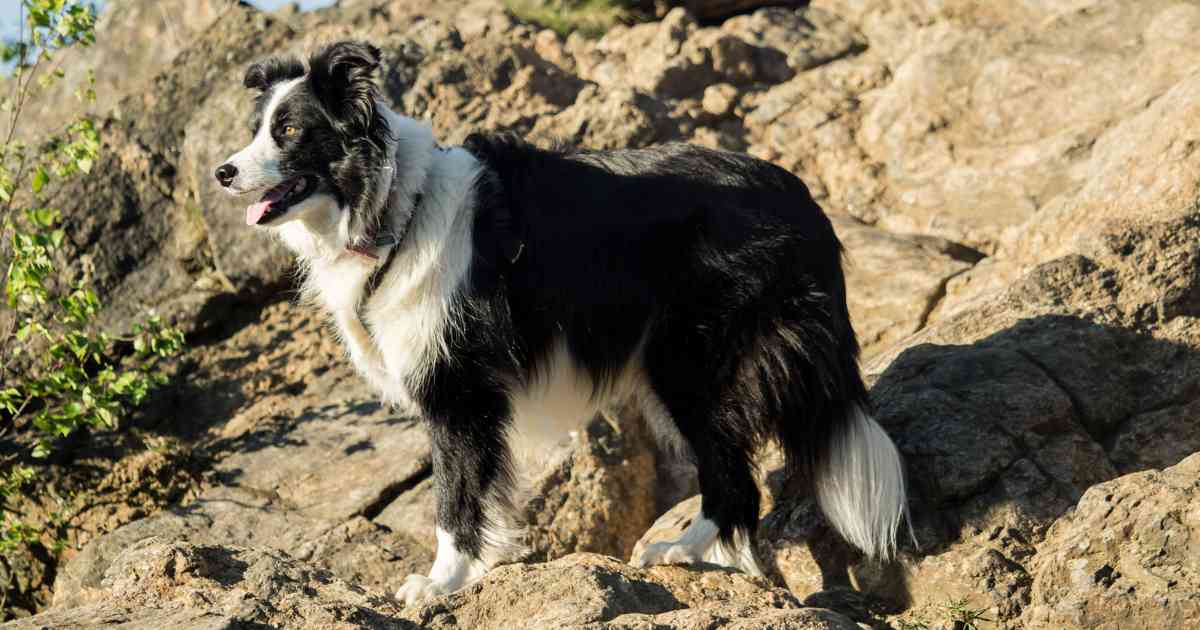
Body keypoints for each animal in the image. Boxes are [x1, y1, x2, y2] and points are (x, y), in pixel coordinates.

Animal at [218, 40, 907, 604]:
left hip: (691, 357)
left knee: (734, 475)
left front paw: (439, 583)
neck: (391, 206)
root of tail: (804, 203)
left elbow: (455, 490)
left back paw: (676, 553)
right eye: (256, 129)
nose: (222, 172)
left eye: (290, 130)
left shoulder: (459, 384)